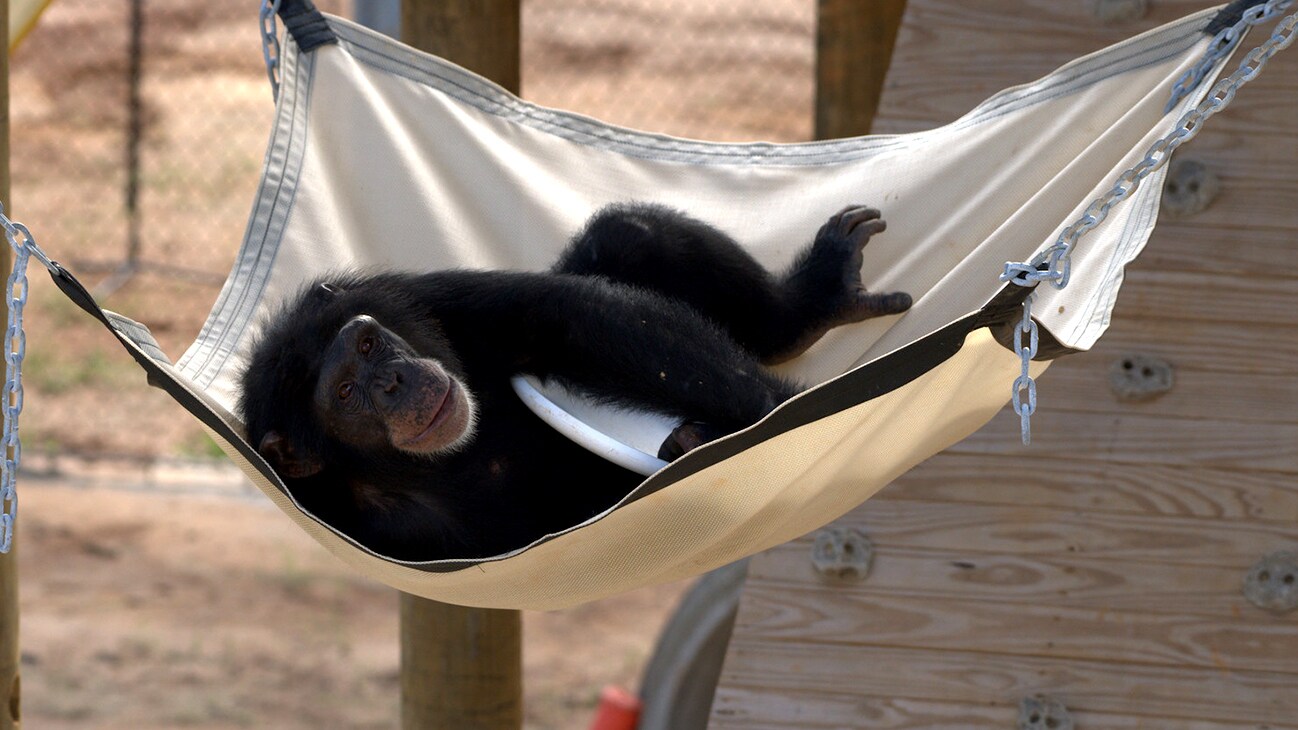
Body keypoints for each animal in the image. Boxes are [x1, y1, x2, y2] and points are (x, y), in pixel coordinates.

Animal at [238, 201, 908, 558]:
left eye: (369, 344)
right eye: (345, 393)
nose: (393, 381)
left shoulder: (420, 299)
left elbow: (564, 317)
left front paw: (793, 412)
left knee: (627, 232)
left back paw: (813, 300)